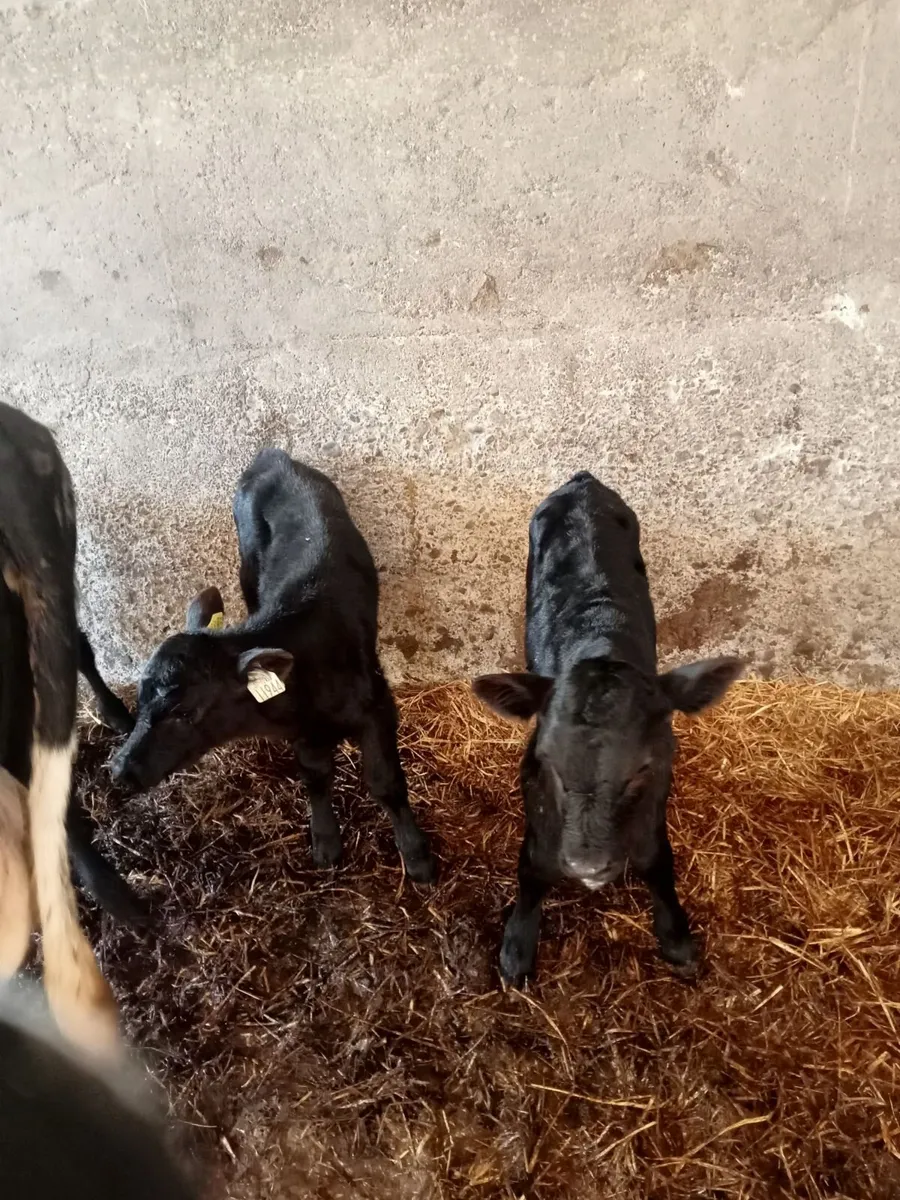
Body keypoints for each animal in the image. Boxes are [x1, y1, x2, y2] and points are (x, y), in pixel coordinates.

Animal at [112, 448, 436, 885]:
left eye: (185, 712)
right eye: (141, 697)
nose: (121, 770)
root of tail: (275, 457)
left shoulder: (378, 706)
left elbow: (385, 782)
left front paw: (417, 856)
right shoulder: (303, 732)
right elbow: (315, 776)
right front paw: (325, 841)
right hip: (246, 568)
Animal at [472, 472, 743, 985]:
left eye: (641, 769)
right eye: (552, 763)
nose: (588, 864)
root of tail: (583, 481)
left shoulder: (659, 787)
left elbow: (656, 858)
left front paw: (676, 938)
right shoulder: (534, 784)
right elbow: (534, 863)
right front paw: (517, 948)